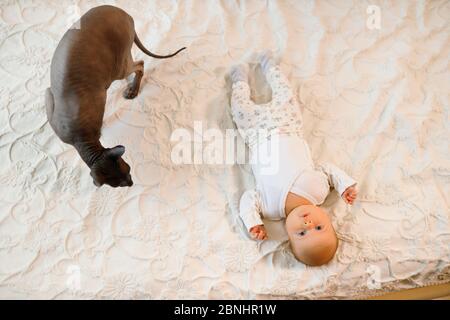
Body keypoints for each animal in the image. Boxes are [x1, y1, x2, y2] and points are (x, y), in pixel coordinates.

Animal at [45, 5, 186, 188]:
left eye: (129, 171)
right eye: (119, 184)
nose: (131, 183)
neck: (81, 139)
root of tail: (126, 14)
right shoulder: (48, 96)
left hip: (119, 65)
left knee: (139, 65)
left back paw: (132, 89)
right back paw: (130, 86)